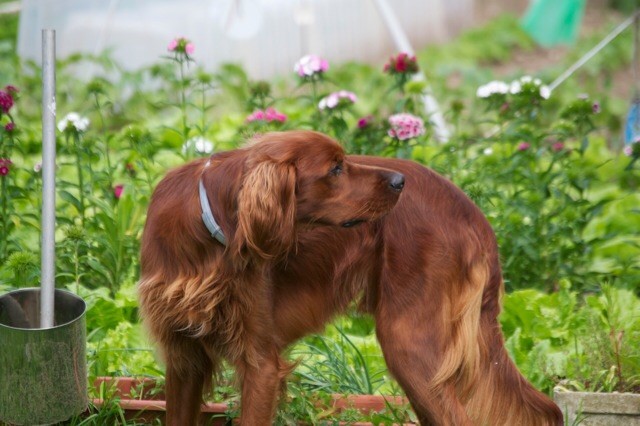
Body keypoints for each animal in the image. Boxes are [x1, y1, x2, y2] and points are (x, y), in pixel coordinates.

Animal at [138, 131, 564, 424]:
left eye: (343, 160)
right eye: (335, 168)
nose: (399, 182)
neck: (209, 231)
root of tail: (474, 214)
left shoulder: (260, 363)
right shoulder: (183, 359)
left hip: (408, 344)